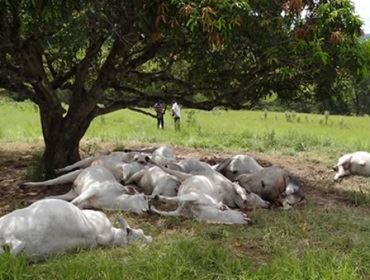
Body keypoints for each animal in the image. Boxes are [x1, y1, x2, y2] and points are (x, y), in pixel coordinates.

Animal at [20, 165, 149, 213]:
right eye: (144, 197)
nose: (147, 210)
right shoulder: (94, 189)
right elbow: (75, 202)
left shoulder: (88, 203)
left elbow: (79, 205)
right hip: (72, 175)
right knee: (51, 181)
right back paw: (25, 185)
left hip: (72, 192)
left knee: (50, 196)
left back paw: (30, 201)